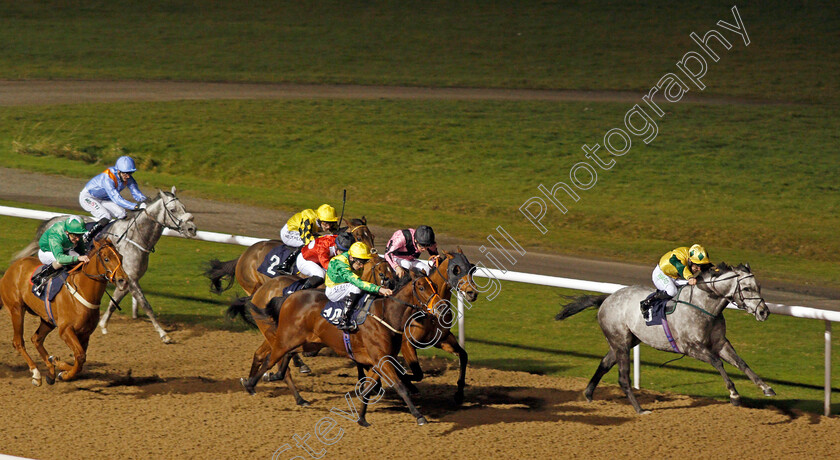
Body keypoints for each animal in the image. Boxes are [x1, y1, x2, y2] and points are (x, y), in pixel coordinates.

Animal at [0, 237, 129, 384]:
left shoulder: (85, 333)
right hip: (17, 309)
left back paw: (50, 372)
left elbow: (80, 360)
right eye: (106, 259)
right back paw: (36, 373)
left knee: (36, 339)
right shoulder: (65, 330)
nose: (123, 281)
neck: (82, 291)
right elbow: (80, 356)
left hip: (47, 319)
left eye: (121, 257)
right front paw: (60, 367)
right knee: (18, 342)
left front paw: (60, 368)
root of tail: (11, 269)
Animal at [13, 186, 198, 342]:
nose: (192, 229)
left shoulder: (126, 278)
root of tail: (51, 221)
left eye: (184, 206)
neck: (135, 238)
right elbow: (146, 305)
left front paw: (103, 325)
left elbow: (114, 301)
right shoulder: (131, 279)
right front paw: (163, 334)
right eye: (173, 210)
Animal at [556, 264, 776, 416]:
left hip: (626, 342)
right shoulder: (691, 347)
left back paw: (588, 394)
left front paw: (767, 388)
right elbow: (717, 363)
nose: (764, 312)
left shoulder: (720, 343)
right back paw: (640, 409)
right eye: (746, 289)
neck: (703, 305)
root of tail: (606, 299)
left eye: (758, 286)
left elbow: (742, 363)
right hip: (620, 342)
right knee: (623, 377)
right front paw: (734, 395)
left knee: (604, 363)